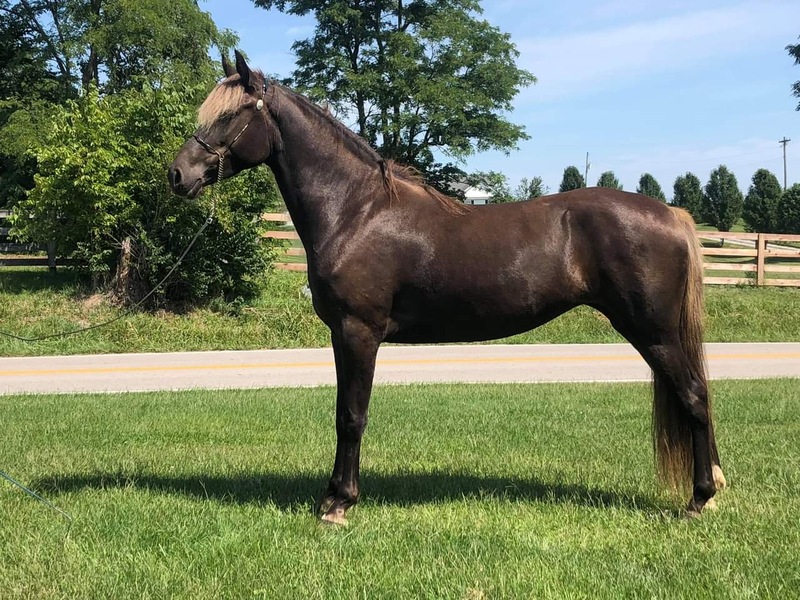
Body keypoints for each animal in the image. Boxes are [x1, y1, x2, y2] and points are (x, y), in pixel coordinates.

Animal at [169, 51, 725, 525]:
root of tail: (671, 214)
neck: (356, 210)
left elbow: (351, 415)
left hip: (654, 332)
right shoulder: (343, 335)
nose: (178, 174)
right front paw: (330, 495)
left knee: (695, 396)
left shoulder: (358, 331)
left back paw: (701, 499)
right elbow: (343, 412)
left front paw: (339, 503)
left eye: (231, 115)